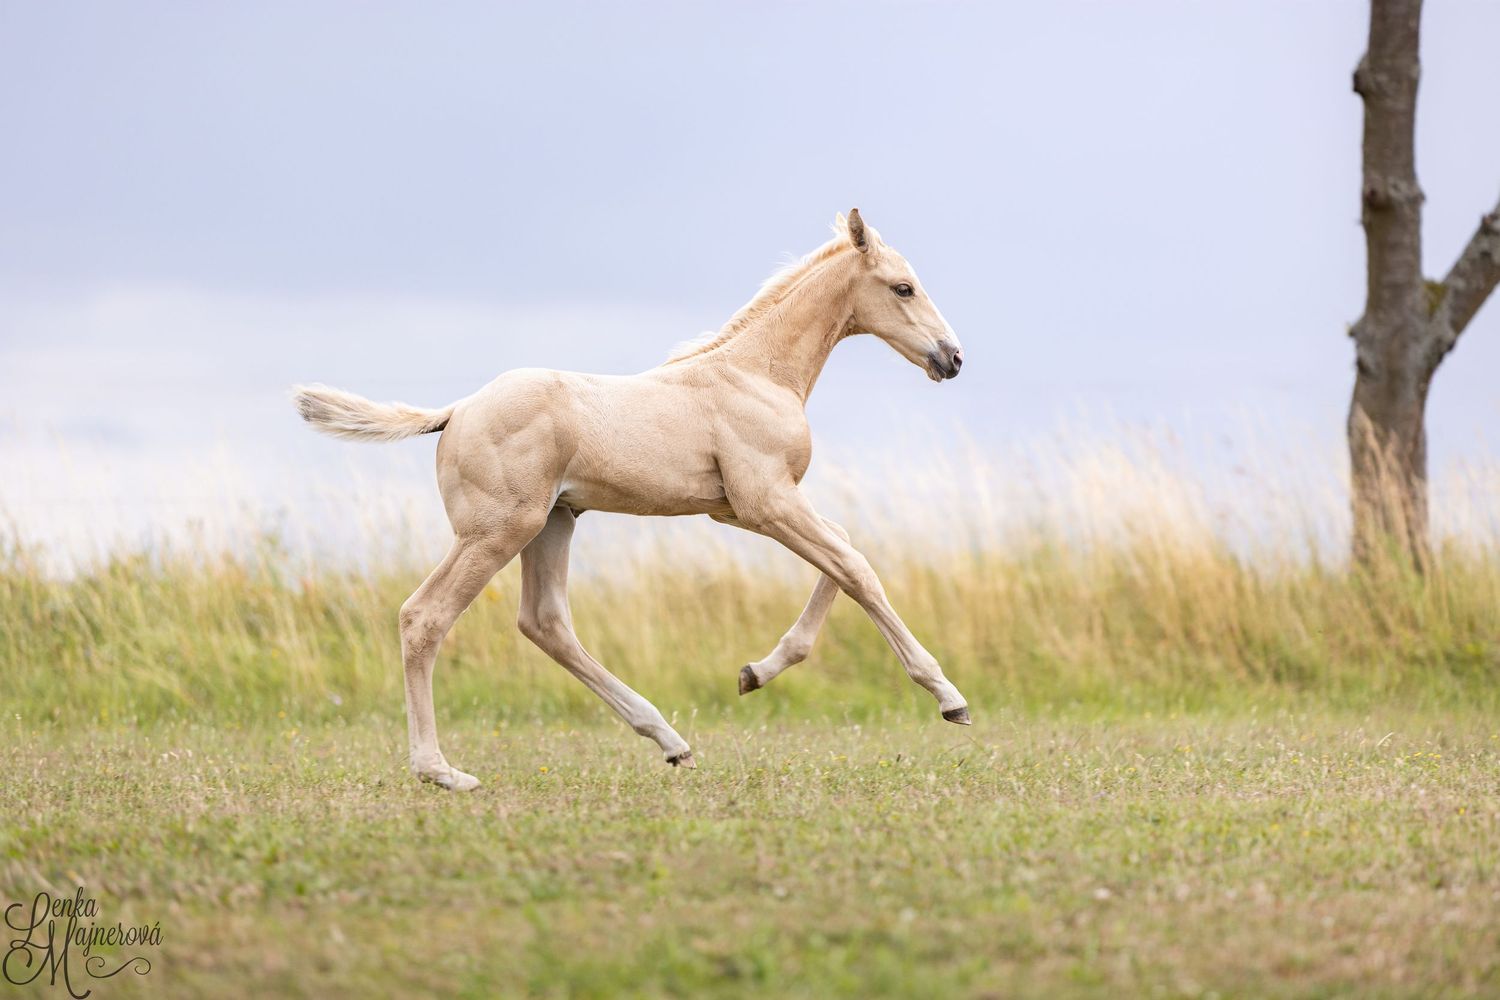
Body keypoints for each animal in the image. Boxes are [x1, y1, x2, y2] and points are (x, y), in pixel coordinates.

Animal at [293, 209, 969, 790]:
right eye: (903, 288)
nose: (953, 358)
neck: (757, 373)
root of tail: (455, 410)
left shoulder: (744, 508)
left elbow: (843, 555)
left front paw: (755, 672)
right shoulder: (765, 502)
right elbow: (857, 569)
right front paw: (948, 698)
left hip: (552, 523)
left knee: (545, 622)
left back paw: (671, 740)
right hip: (496, 530)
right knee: (424, 617)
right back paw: (442, 772)